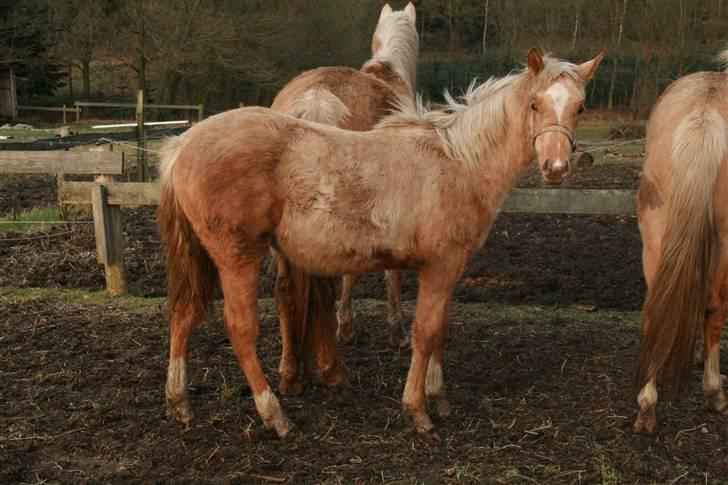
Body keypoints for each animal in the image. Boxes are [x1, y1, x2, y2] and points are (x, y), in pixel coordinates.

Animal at [159, 49, 604, 438]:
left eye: (580, 107)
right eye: (534, 104)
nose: (556, 168)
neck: (459, 161)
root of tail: (183, 145)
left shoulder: (451, 268)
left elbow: (441, 329)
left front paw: (439, 398)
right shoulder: (439, 266)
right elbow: (425, 331)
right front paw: (418, 412)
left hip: (204, 256)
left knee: (183, 315)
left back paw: (180, 404)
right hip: (238, 257)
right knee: (240, 328)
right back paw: (276, 417)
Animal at [268, 2, 418, 398]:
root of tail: (316, 100)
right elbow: (387, 273)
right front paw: (395, 331)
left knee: (286, 291)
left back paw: (291, 373)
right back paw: (329, 369)